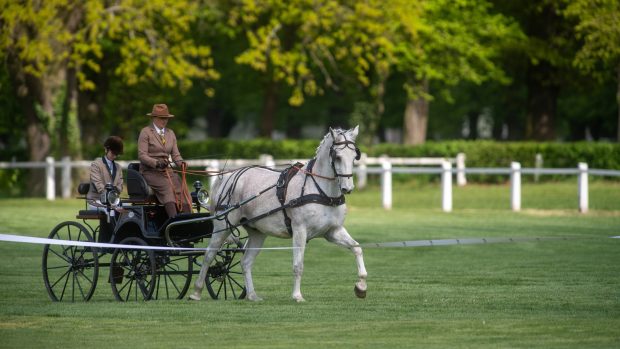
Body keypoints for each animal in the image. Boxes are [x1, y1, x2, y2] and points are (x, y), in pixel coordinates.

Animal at [189, 126, 368, 300]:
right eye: (337, 157)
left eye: (354, 156)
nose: (347, 188)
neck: (321, 191)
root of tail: (229, 176)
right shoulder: (300, 230)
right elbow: (298, 265)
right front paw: (297, 296)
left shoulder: (332, 231)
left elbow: (357, 248)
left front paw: (361, 286)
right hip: (223, 227)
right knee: (209, 255)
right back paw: (196, 292)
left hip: (257, 232)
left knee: (246, 262)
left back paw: (252, 295)